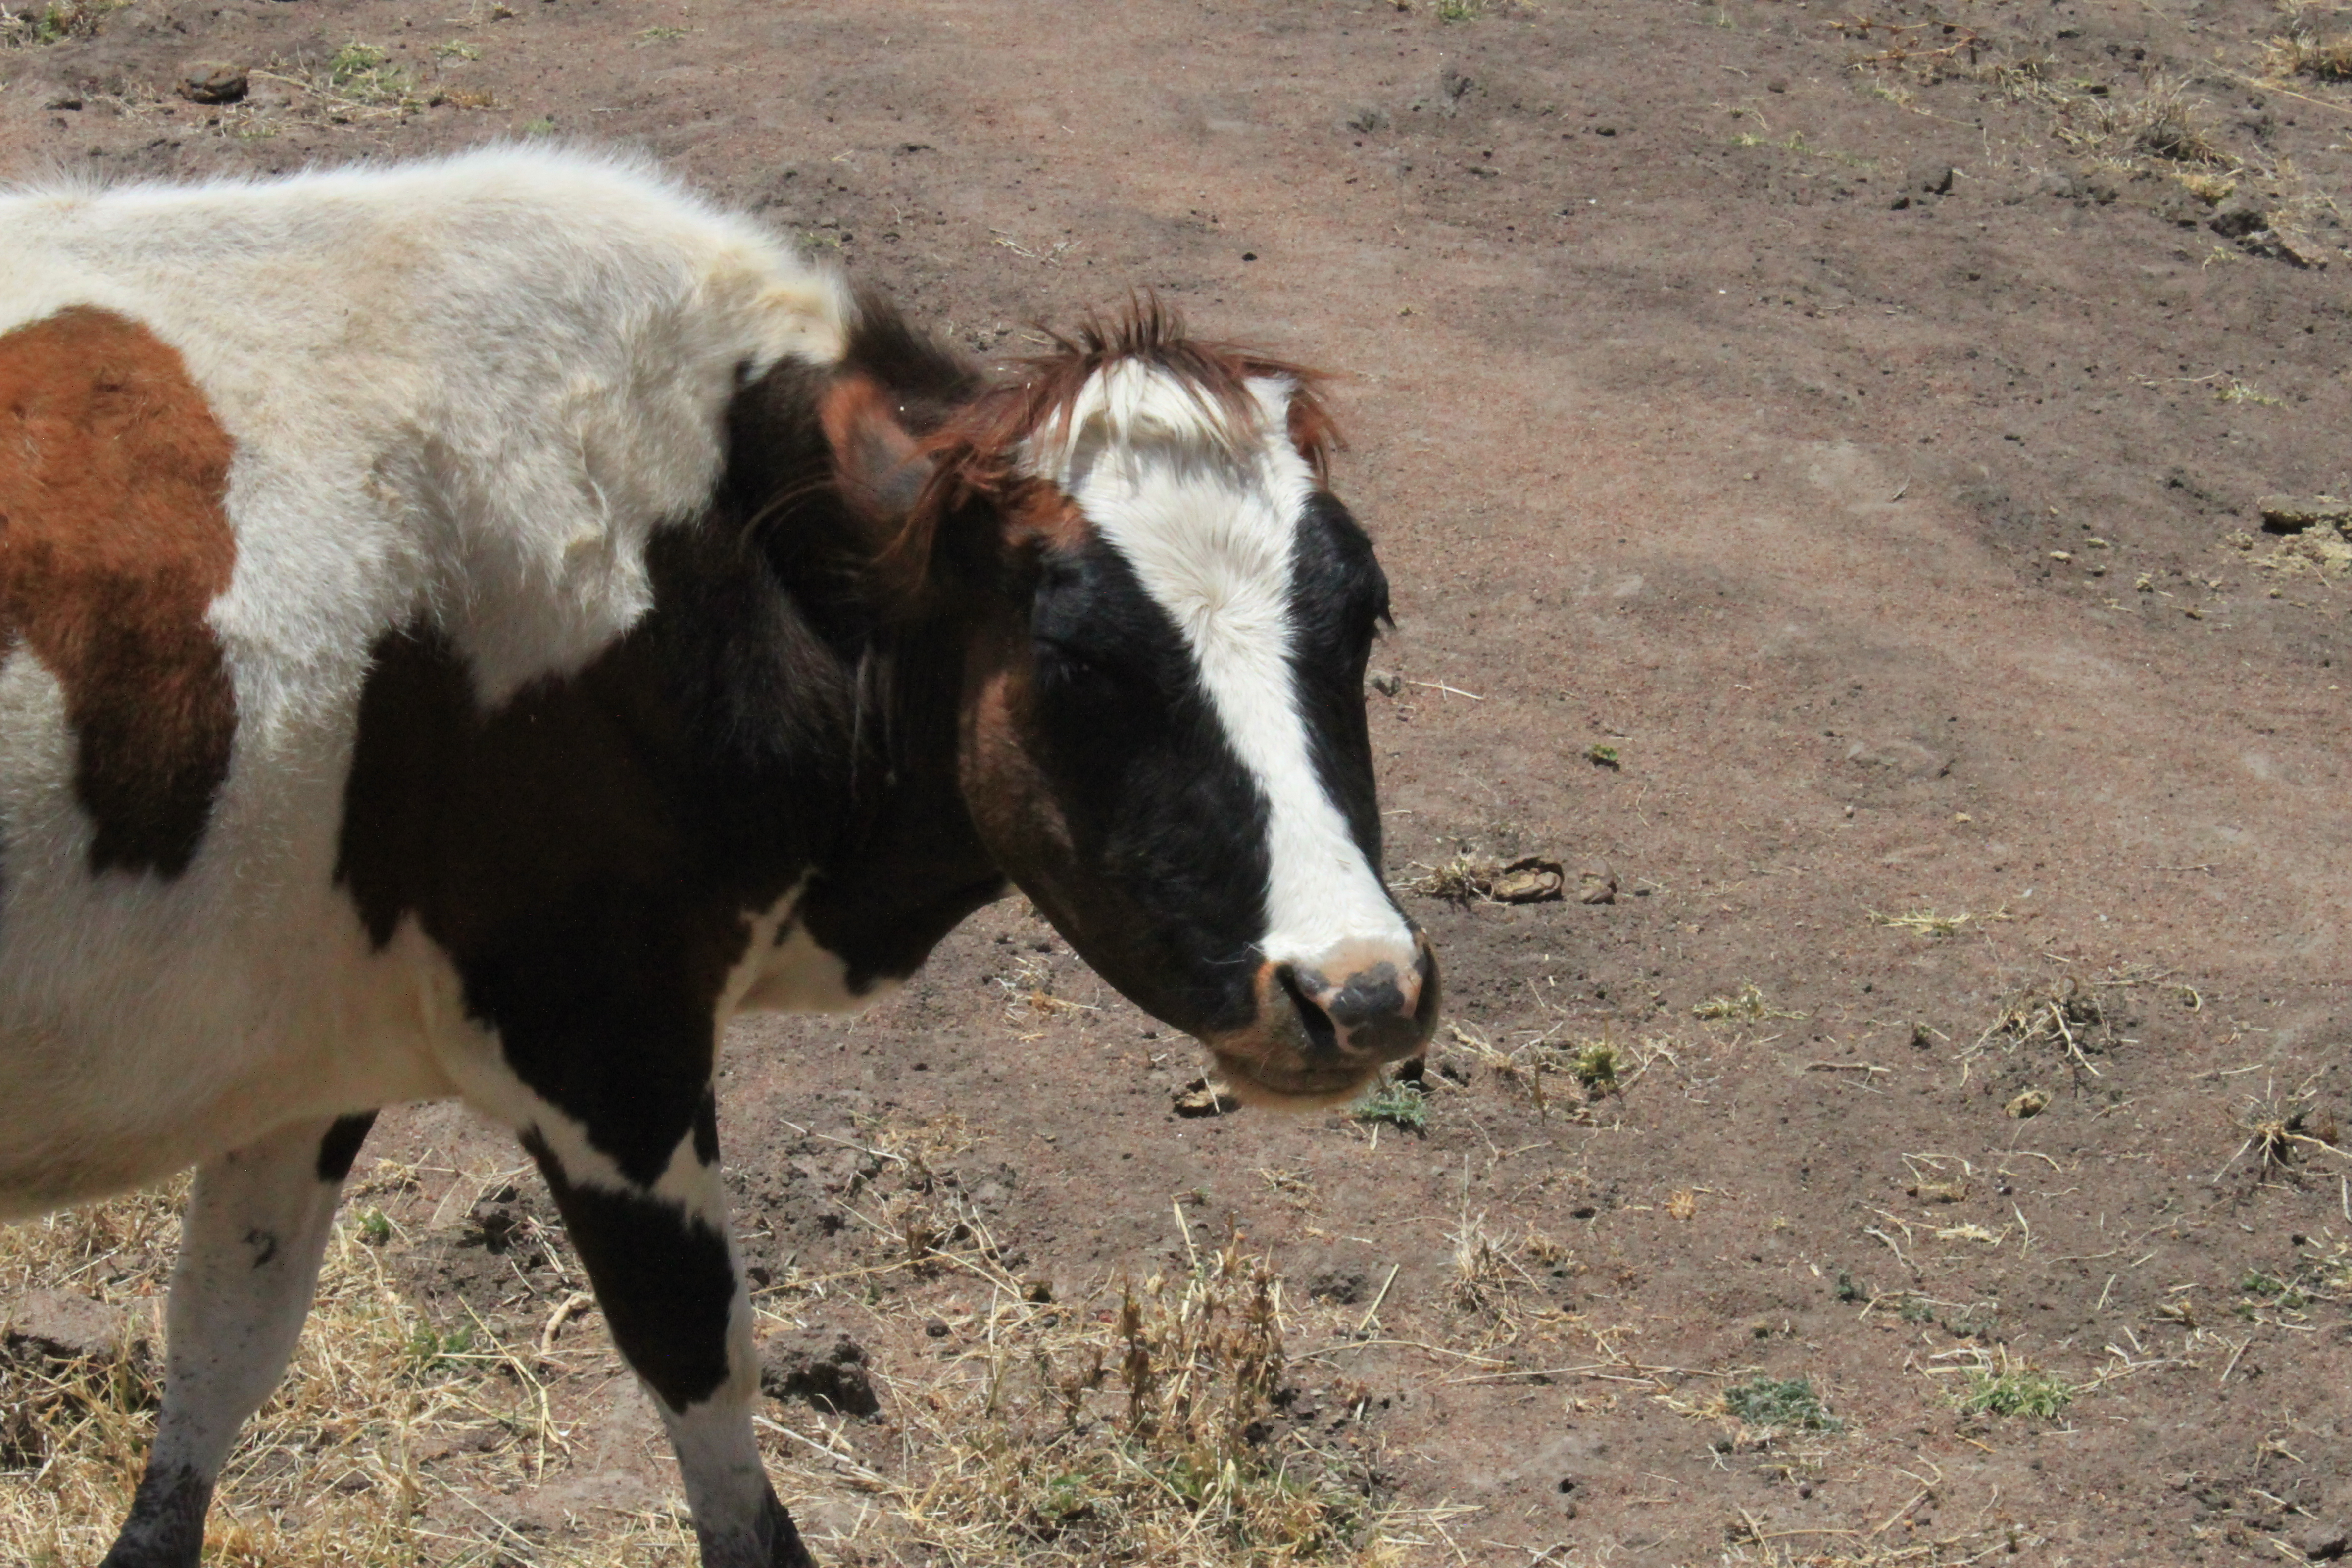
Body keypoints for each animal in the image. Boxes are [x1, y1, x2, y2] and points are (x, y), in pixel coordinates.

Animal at [0, 150, 1439, 1568]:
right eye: (1080, 655)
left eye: (1364, 613)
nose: (1363, 989)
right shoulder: (603, 1042)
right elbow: (703, 1365)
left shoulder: (302, 1049)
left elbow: (222, 1345)